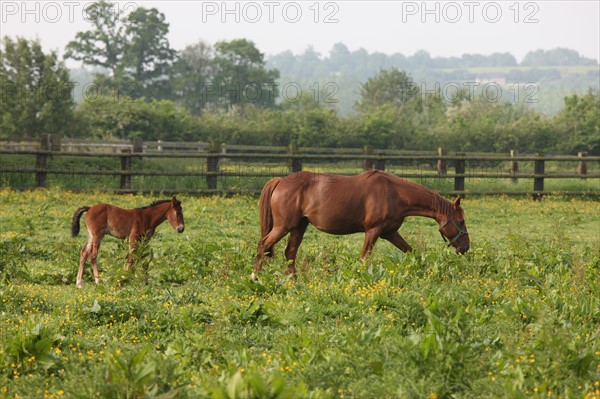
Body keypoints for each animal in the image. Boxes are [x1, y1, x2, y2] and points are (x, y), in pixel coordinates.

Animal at [253, 172, 468, 282]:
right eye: (461, 221)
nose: (465, 247)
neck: (394, 193)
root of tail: (280, 180)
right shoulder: (373, 231)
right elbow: (364, 259)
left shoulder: (390, 232)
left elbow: (410, 251)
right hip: (284, 226)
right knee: (263, 245)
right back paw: (255, 276)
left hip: (299, 226)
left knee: (290, 253)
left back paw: (294, 282)